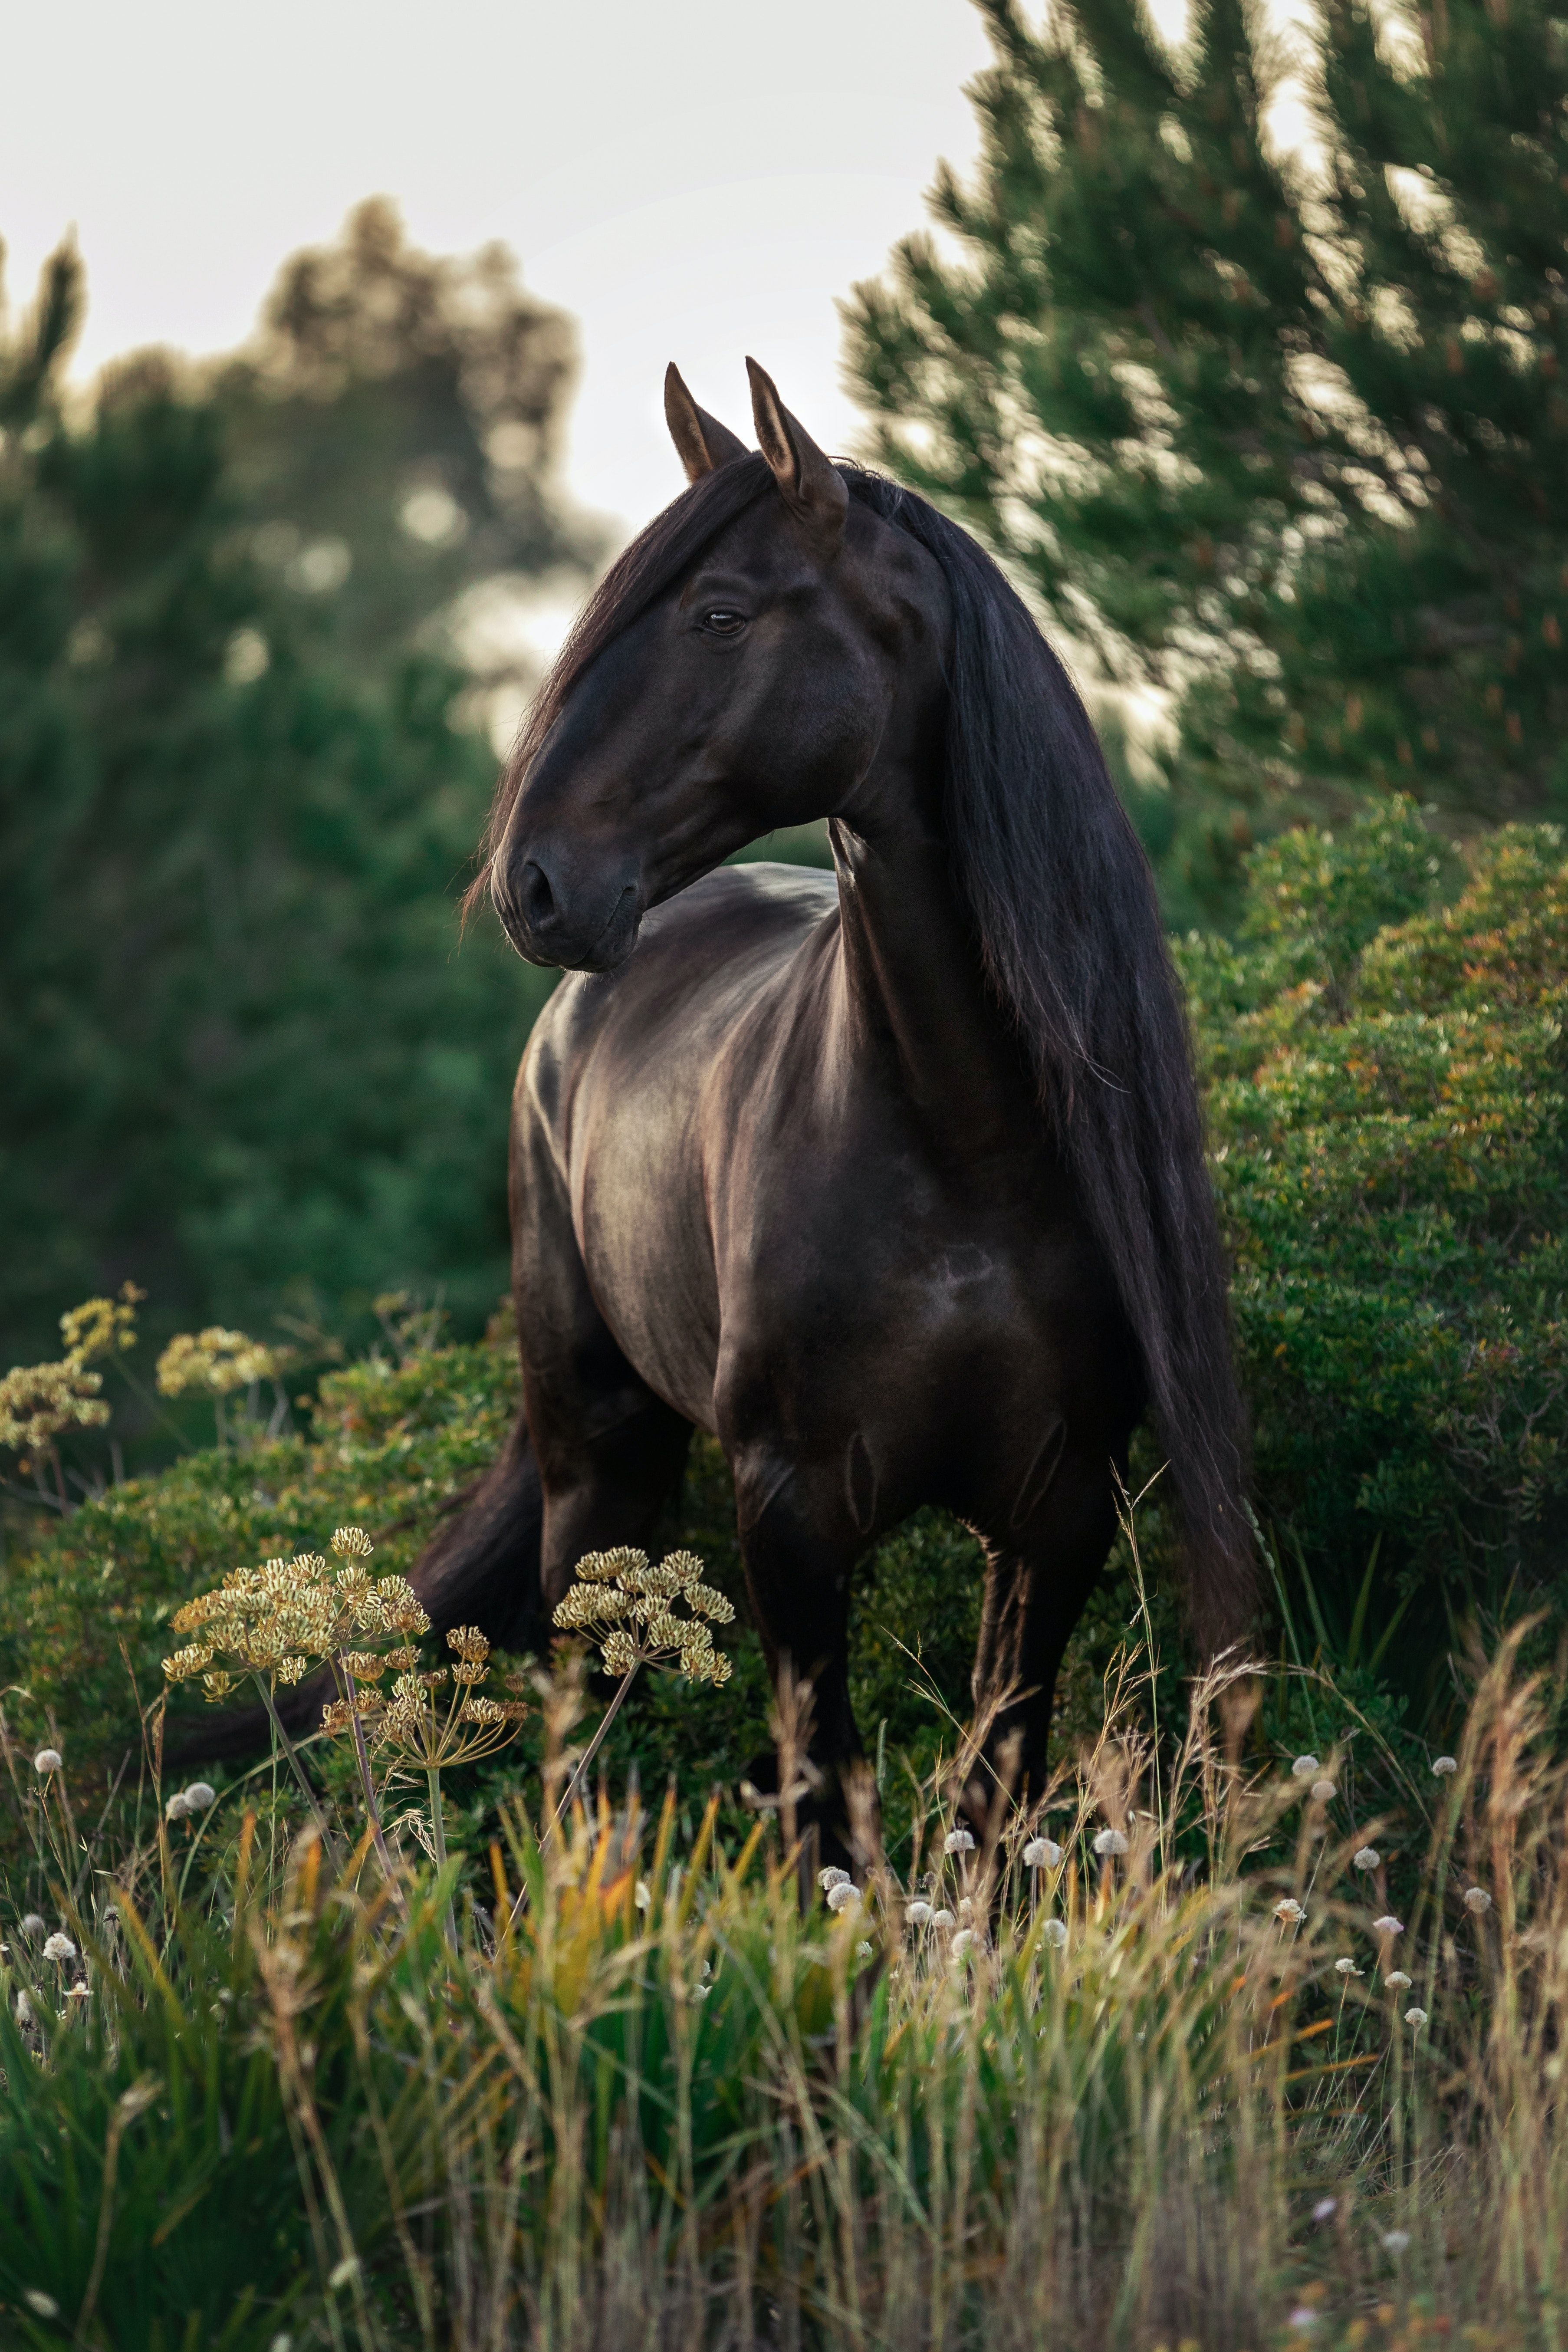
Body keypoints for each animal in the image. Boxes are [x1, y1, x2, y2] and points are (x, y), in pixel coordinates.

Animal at [409, 362, 1250, 1816]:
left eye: (720, 613)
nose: (534, 884)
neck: (963, 1146)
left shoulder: (1059, 1512)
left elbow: (993, 1784)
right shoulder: (791, 1514)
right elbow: (823, 1801)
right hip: (597, 1462)